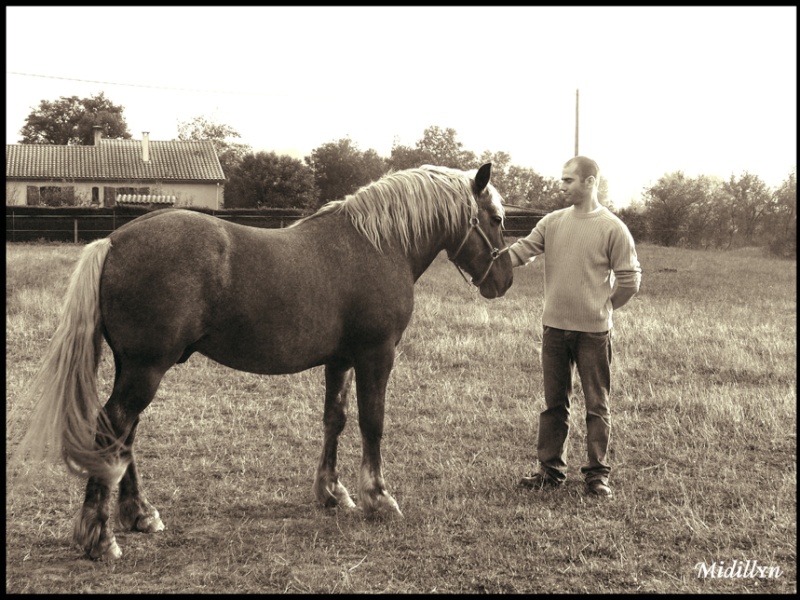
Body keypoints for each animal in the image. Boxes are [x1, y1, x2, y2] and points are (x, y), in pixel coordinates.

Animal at [14, 162, 512, 560]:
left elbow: (335, 419)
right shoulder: (377, 356)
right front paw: (378, 497)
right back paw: (99, 539)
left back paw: (139, 515)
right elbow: (373, 422)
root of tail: (114, 240)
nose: (504, 280)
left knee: (124, 434)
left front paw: (332, 492)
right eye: (496, 218)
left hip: (134, 368)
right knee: (112, 427)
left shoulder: (340, 361)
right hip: (146, 369)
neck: (378, 245)